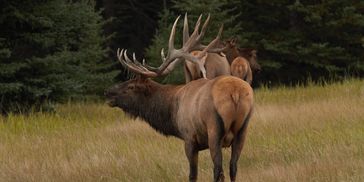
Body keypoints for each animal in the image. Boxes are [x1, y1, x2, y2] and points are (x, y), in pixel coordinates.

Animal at [104, 14, 255, 181]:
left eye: (131, 87)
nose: (108, 92)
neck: (172, 114)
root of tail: (235, 93)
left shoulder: (189, 138)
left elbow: (192, 175)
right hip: (243, 130)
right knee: (233, 167)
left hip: (214, 129)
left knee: (218, 170)